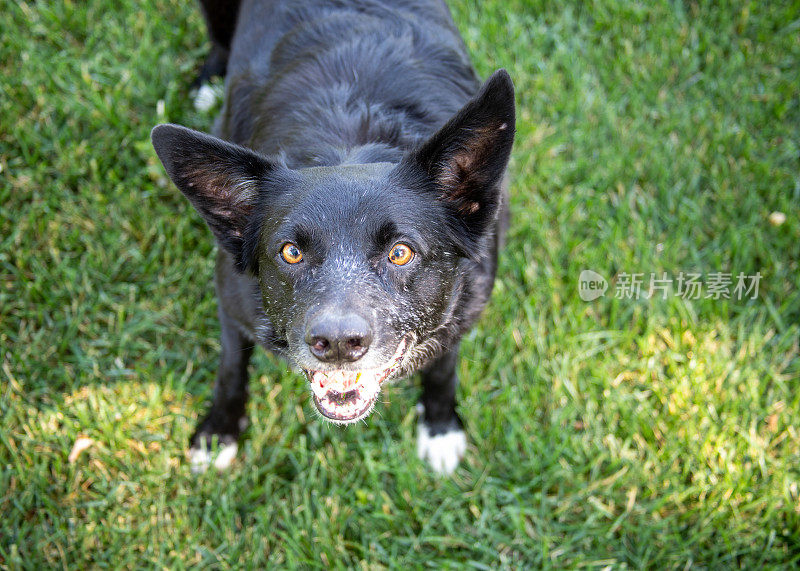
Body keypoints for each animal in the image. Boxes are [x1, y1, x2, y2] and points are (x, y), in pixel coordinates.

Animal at [149, 0, 512, 474]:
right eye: (290, 253)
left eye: (400, 252)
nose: (338, 344)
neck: (350, 143)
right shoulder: (231, 299)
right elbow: (231, 366)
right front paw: (218, 431)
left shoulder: (468, 301)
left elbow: (443, 363)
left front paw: (439, 425)